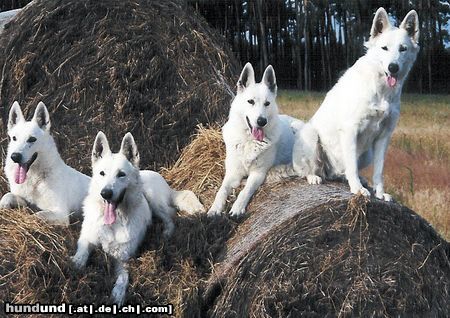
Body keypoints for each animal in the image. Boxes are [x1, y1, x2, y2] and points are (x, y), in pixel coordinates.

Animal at [71, 131, 204, 306]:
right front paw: (76, 264)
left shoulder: (122, 260)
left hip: (152, 197)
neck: (113, 224)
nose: (105, 193)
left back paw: (167, 232)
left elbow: (123, 278)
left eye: (121, 174)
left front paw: (118, 294)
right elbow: (82, 251)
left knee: (170, 214)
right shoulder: (87, 238)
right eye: (102, 173)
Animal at [208, 62, 302, 216]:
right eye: (250, 101)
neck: (249, 141)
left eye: (267, 103)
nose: (261, 121)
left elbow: (245, 191)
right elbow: (221, 190)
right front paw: (215, 208)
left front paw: (237, 208)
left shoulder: (258, 174)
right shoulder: (233, 173)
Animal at [294, 8, 420, 201]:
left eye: (403, 49)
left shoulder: (384, 136)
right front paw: (358, 190)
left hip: (367, 154)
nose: (393, 67)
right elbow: (351, 165)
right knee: (309, 170)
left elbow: (378, 171)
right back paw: (314, 177)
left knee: (340, 172)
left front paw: (379, 193)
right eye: (384, 48)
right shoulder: (350, 130)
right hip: (310, 135)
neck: (380, 90)